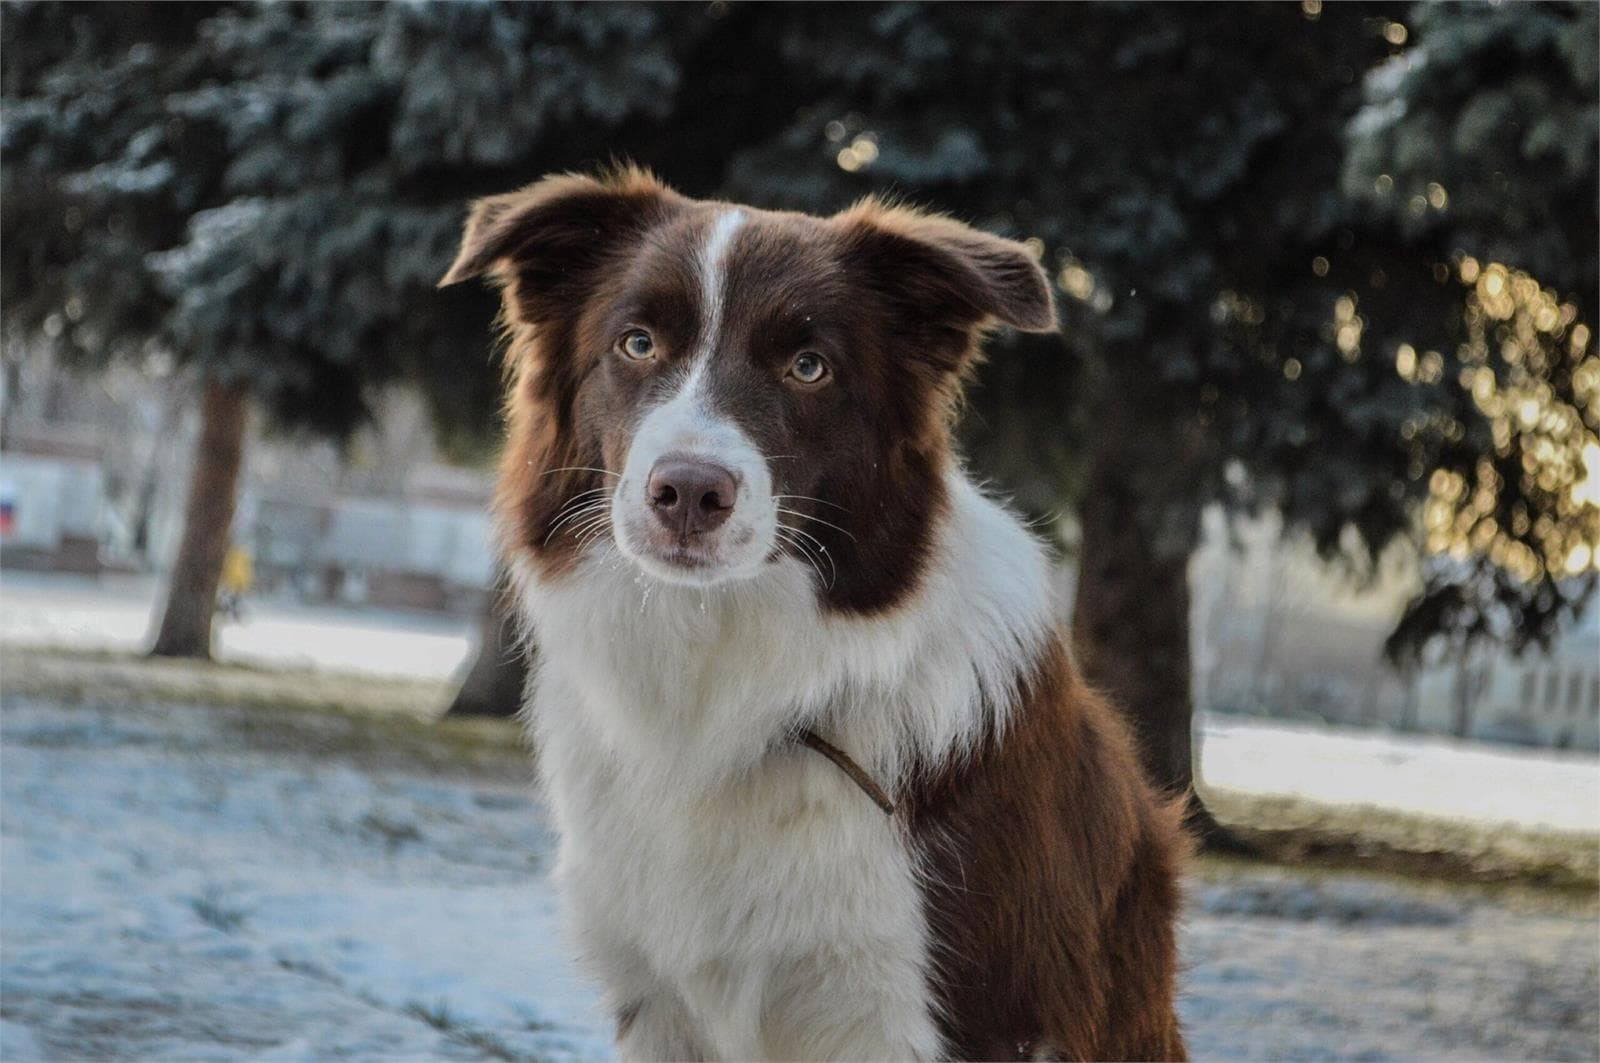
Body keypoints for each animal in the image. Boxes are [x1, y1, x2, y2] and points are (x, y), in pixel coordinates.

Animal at [438, 170, 1190, 1056]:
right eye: (637, 344)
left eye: (808, 366)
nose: (687, 491)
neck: (732, 685)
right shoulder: (659, 999)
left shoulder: (933, 1011)